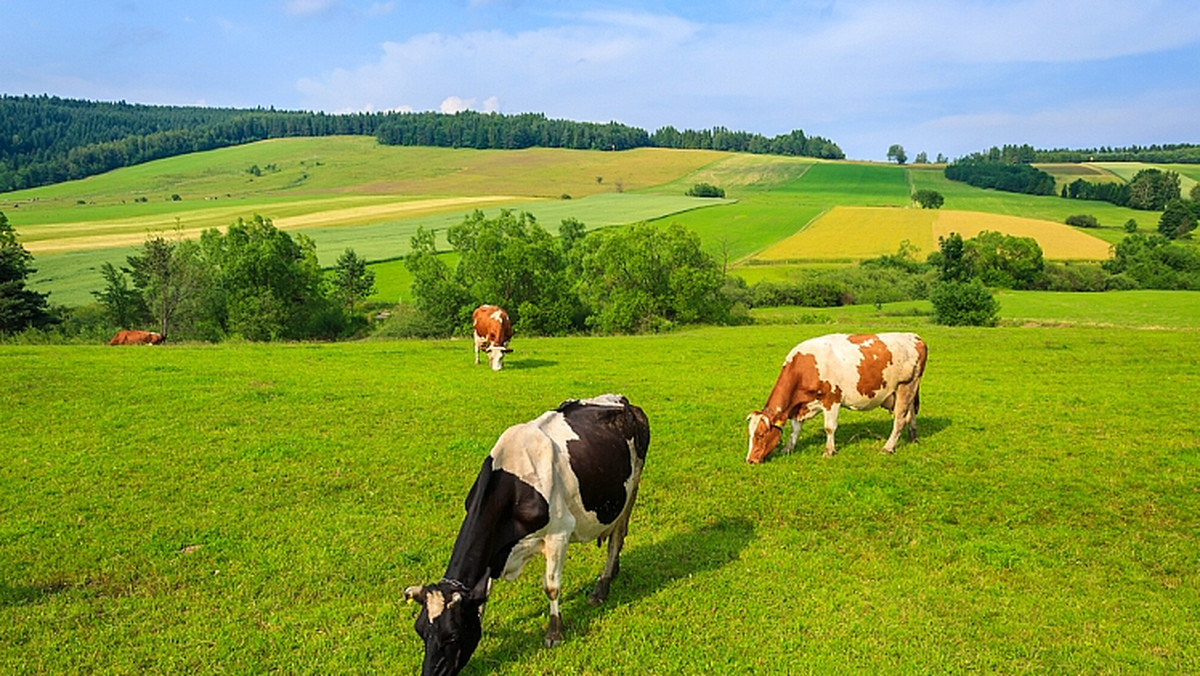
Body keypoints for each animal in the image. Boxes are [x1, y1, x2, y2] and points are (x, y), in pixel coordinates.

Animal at [405, 393, 652, 672]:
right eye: (421, 631)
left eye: (453, 636)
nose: (429, 672)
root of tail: (623, 401)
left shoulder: (559, 534)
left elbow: (551, 587)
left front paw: (554, 633)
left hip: (632, 488)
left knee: (616, 539)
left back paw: (601, 588)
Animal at [744, 333, 931, 465]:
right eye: (750, 434)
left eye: (760, 435)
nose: (750, 460)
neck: (804, 367)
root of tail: (915, 337)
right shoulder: (801, 406)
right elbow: (795, 429)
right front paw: (787, 448)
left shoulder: (832, 399)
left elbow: (829, 428)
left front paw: (829, 451)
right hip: (904, 391)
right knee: (910, 414)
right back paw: (913, 438)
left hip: (906, 385)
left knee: (900, 419)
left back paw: (888, 448)